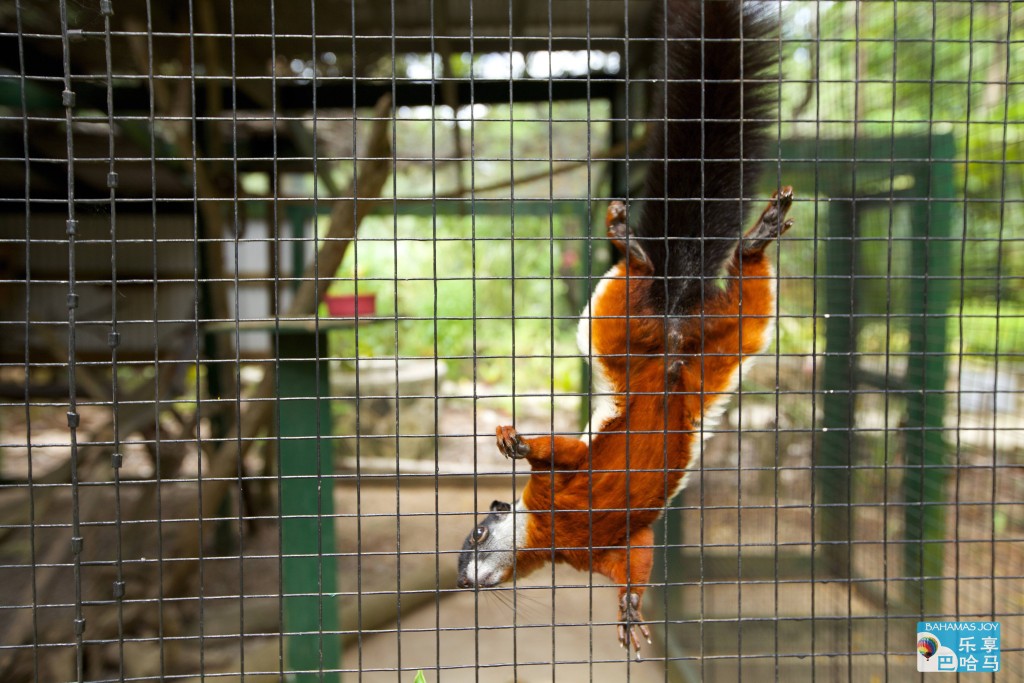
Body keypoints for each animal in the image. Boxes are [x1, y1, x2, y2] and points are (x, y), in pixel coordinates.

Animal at [458, 0, 790, 655]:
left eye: (477, 538)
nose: (463, 580)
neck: (548, 534)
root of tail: (674, 327)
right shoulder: (606, 549)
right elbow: (633, 563)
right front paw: (632, 609)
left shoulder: (551, 487)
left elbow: (562, 455)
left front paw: (517, 441)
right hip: (720, 342)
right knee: (748, 305)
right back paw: (754, 244)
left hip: (618, 327)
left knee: (624, 300)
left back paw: (635, 248)